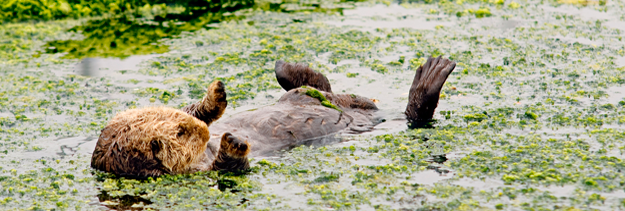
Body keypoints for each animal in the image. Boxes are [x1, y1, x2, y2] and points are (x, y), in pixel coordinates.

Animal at [90, 55, 456, 177]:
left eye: (179, 121)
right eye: (180, 134)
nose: (205, 132)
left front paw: (215, 96)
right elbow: (231, 168)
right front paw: (233, 142)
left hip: (344, 99)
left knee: (320, 86)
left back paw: (287, 68)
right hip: (366, 109)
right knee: (416, 115)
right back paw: (431, 76)